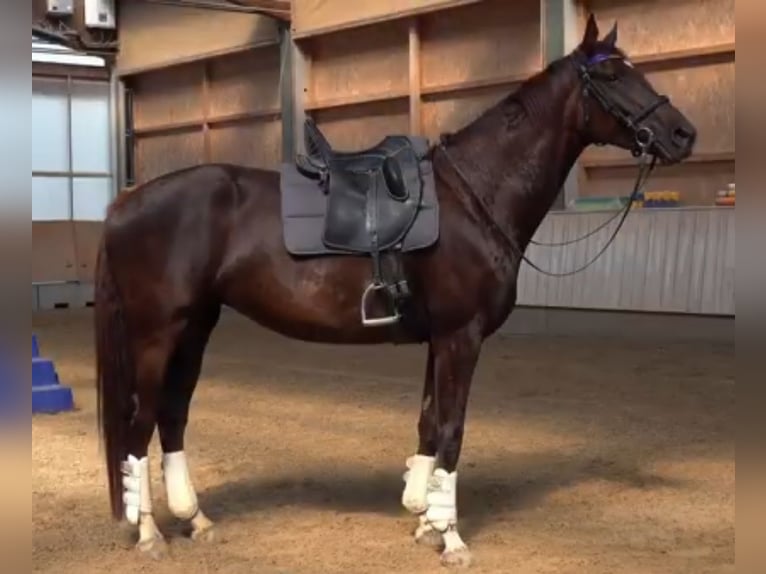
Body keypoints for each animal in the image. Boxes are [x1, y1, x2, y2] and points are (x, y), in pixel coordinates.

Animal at [94, 15, 696, 568]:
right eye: (614, 75)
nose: (684, 135)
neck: (474, 196)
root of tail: (126, 203)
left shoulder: (440, 339)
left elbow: (429, 421)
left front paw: (426, 521)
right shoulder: (461, 337)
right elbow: (452, 429)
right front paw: (451, 539)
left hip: (195, 327)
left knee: (172, 415)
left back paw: (195, 520)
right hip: (158, 332)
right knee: (140, 421)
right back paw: (149, 533)